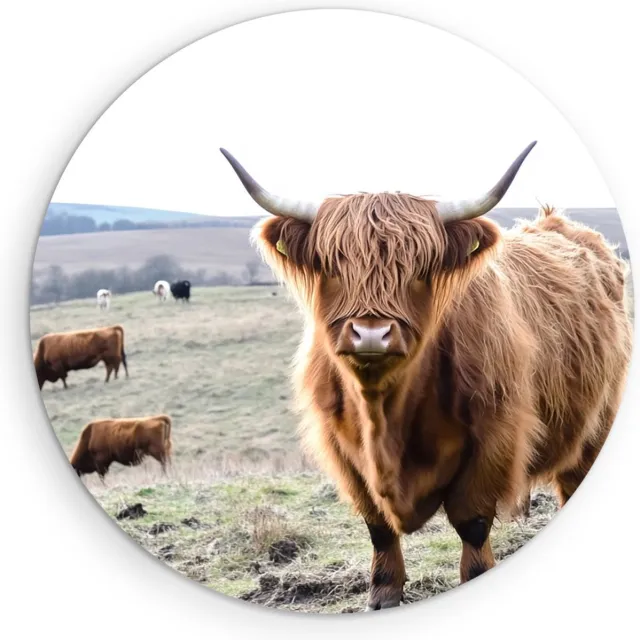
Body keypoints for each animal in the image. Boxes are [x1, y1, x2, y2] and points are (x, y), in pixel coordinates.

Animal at [220, 142, 632, 611]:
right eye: (334, 265)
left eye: (419, 268)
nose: (372, 333)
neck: (384, 410)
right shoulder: (343, 451)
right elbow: (378, 527)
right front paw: (383, 593)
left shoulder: (494, 438)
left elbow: (472, 523)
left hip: (597, 423)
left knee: (573, 479)